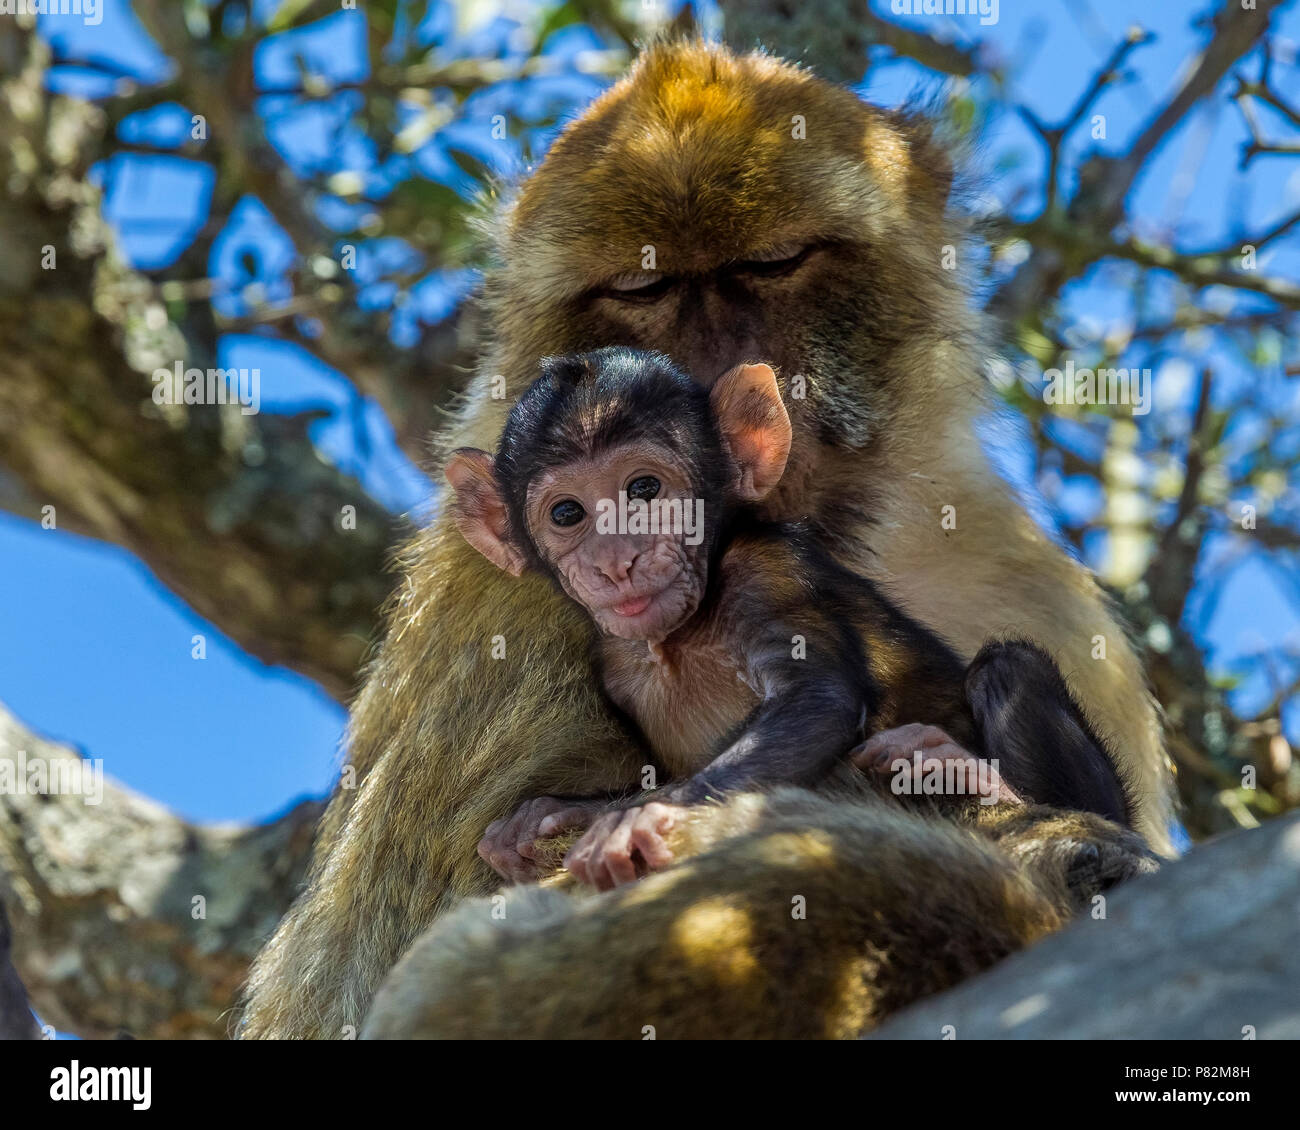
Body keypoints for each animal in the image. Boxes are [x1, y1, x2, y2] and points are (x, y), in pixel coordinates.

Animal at [448, 348, 1137, 890]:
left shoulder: (769, 574)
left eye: (644, 489)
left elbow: (818, 699)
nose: (617, 560)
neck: (680, 639)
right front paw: (559, 814)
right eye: (567, 513)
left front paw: (635, 820)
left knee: (1009, 670)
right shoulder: (615, 658)